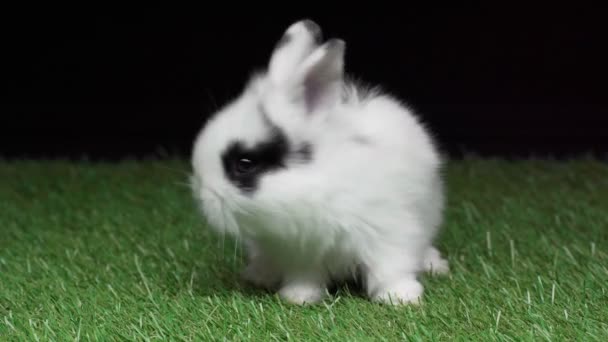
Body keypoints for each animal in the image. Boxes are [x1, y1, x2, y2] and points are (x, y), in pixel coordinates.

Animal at [190, 20, 452, 306]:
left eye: (245, 164)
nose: (203, 194)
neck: (315, 185)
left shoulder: (388, 231)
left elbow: (389, 268)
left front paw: (400, 297)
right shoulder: (300, 253)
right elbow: (305, 277)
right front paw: (299, 297)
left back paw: (434, 265)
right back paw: (259, 275)